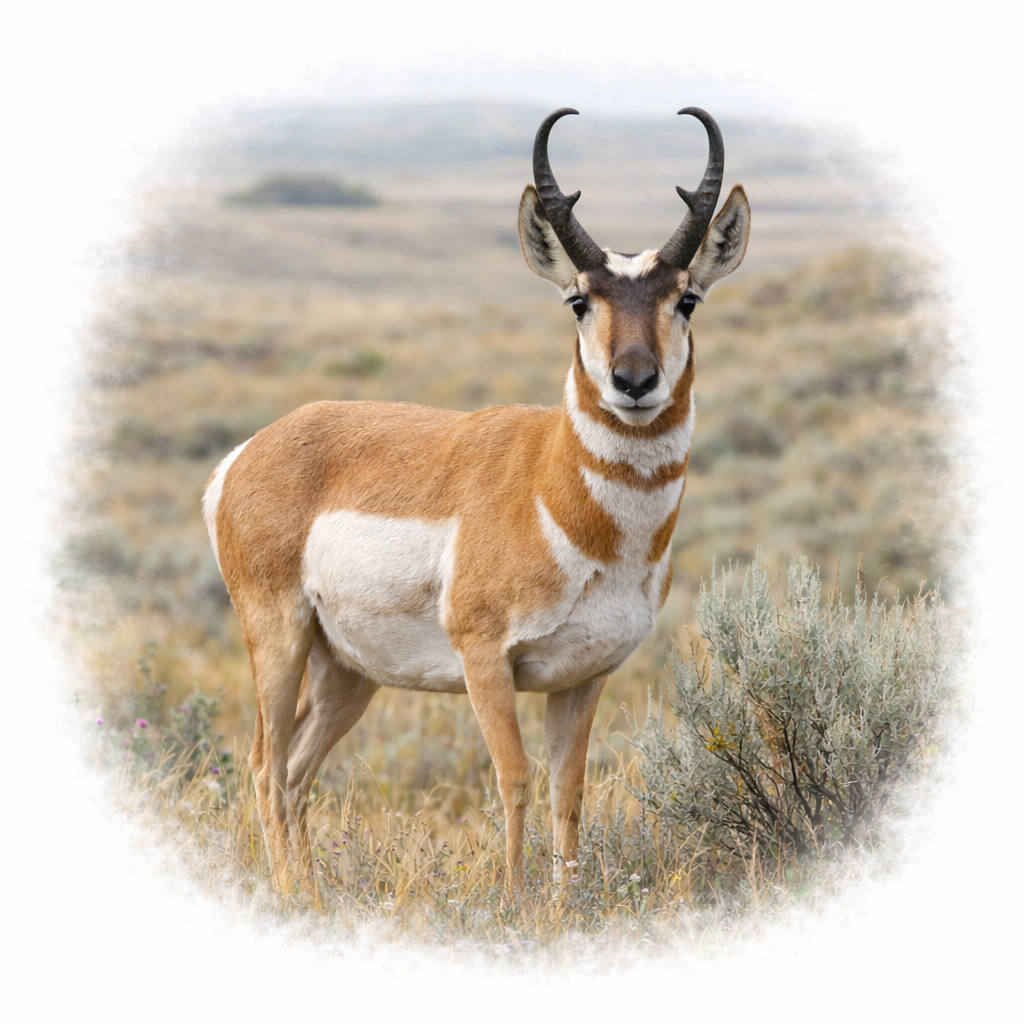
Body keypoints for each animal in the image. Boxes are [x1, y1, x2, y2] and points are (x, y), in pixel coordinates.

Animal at [203, 107, 750, 891]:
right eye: (579, 300)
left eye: (687, 299)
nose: (634, 380)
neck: (557, 494)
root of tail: (250, 452)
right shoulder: (485, 660)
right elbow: (515, 778)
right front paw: (515, 900)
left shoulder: (583, 678)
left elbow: (567, 790)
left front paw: (561, 902)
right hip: (279, 640)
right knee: (264, 765)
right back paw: (288, 890)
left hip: (347, 672)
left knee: (299, 769)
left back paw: (311, 888)